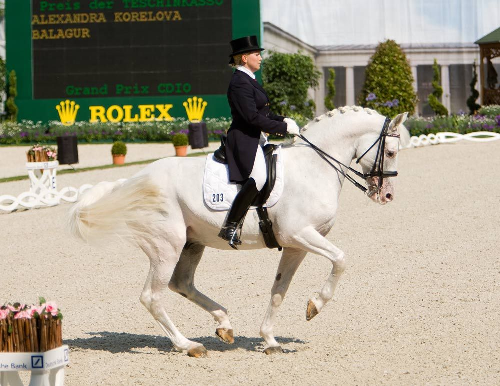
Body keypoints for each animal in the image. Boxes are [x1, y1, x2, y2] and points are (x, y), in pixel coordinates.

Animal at [68, 105, 408, 356]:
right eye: (391, 152)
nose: (387, 196)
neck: (314, 166)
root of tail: (136, 179)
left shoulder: (295, 245)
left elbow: (278, 291)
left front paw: (270, 340)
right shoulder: (300, 234)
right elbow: (340, 260)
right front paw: (315, 305)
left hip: (192, 243)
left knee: (182, 283)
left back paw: (224, 324)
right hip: (167, 245)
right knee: (152, 296)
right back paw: (188, 345)